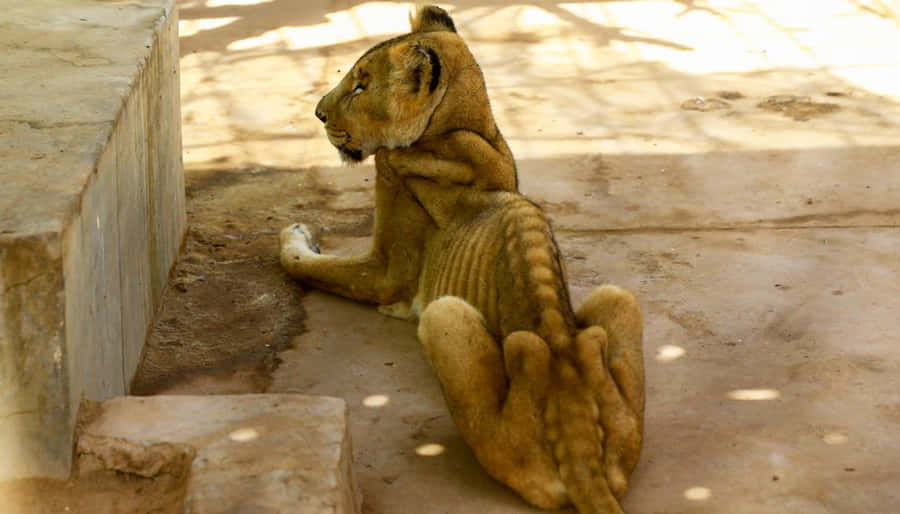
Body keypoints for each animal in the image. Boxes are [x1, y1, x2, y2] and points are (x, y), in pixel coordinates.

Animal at [280, 6, 645, 513]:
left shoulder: (385, 269)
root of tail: (581, 448)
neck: (463, 129)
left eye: (360, 86)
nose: (317, 113)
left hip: (443, 317)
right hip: (620, 302)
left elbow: (307, 264)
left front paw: (291, 234)